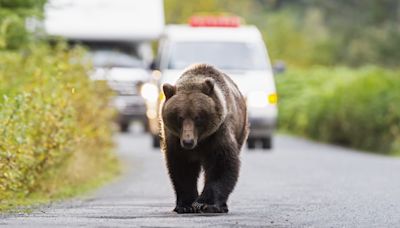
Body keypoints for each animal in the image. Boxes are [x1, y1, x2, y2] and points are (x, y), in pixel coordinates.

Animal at [161, 63, 248, 213]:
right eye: (179, 117)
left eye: (198, 117)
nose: (188, 141)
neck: (200, 141)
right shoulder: (175, 140)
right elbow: (181, 167)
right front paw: (186, 205)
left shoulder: (218, 132)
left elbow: (221, 164)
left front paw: (205, 203)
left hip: (241, 130)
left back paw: (223, 206)